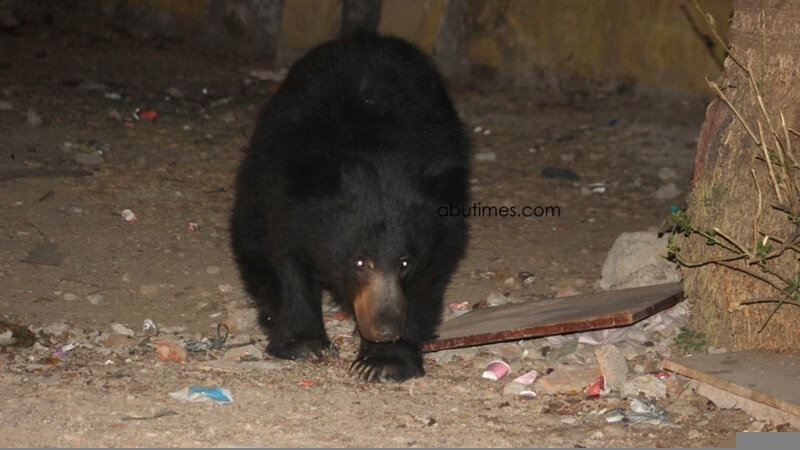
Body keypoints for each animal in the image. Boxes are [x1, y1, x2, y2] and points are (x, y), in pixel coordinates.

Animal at [230, 33, 468, 382]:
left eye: (405, 262)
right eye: (359, 261)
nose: (386, 329)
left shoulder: (444, 219)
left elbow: (428, 280)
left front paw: (382, 361)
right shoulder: (276, 186)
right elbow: (275, 253)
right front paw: (304, 344)